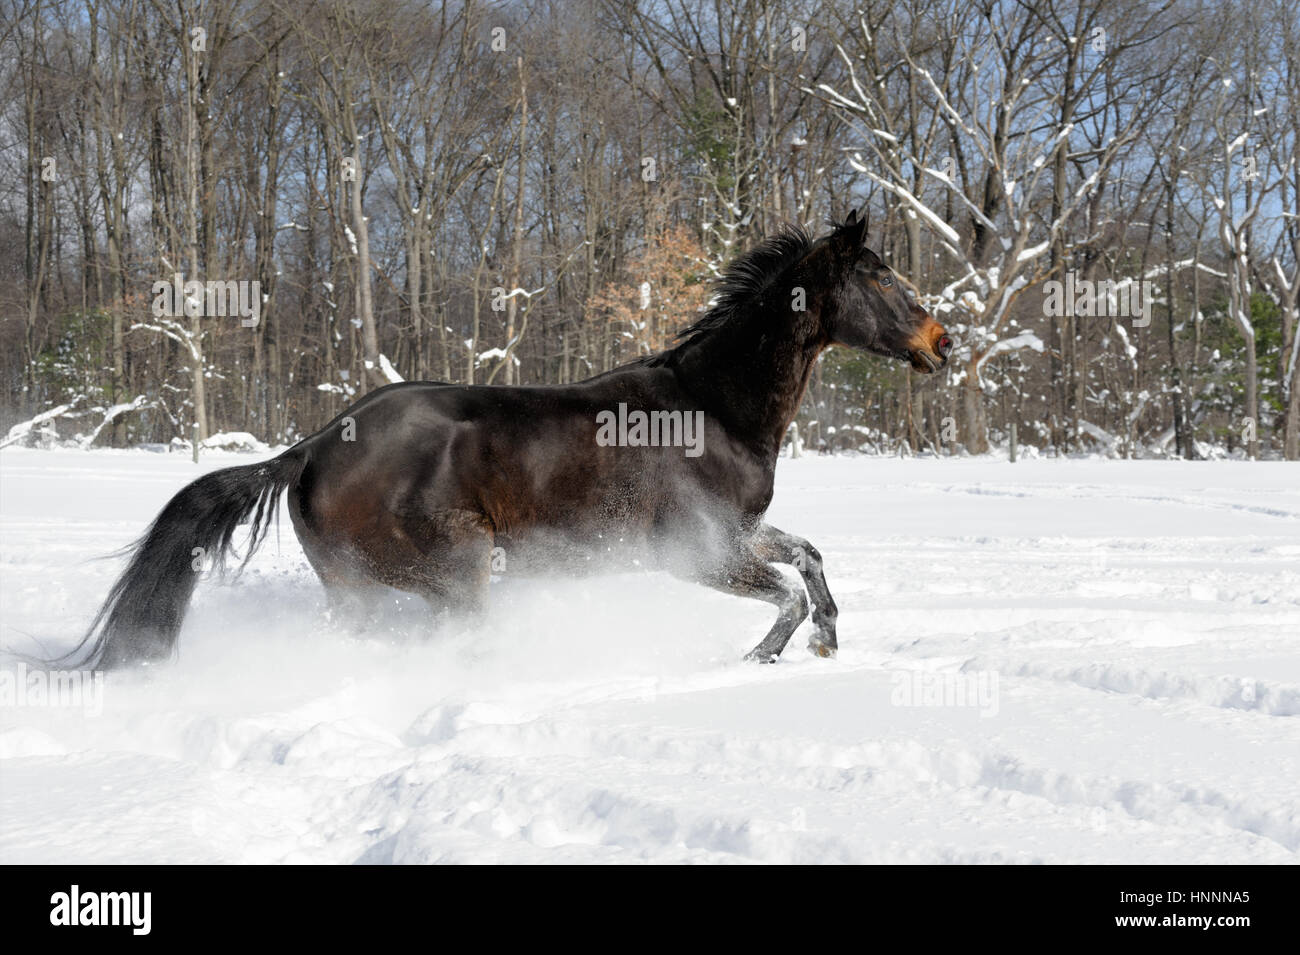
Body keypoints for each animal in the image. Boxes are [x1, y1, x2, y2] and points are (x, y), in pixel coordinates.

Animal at [67, 208, 951, 669]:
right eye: (879, 276)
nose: (942, 342)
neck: (713, 406)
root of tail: (311, 448)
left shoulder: (739, 532)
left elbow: (809, 557)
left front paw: (829, 638)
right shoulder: (697, 552)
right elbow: (788, 592)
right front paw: (762, 657)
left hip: (358, 589)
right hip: (457, 571)